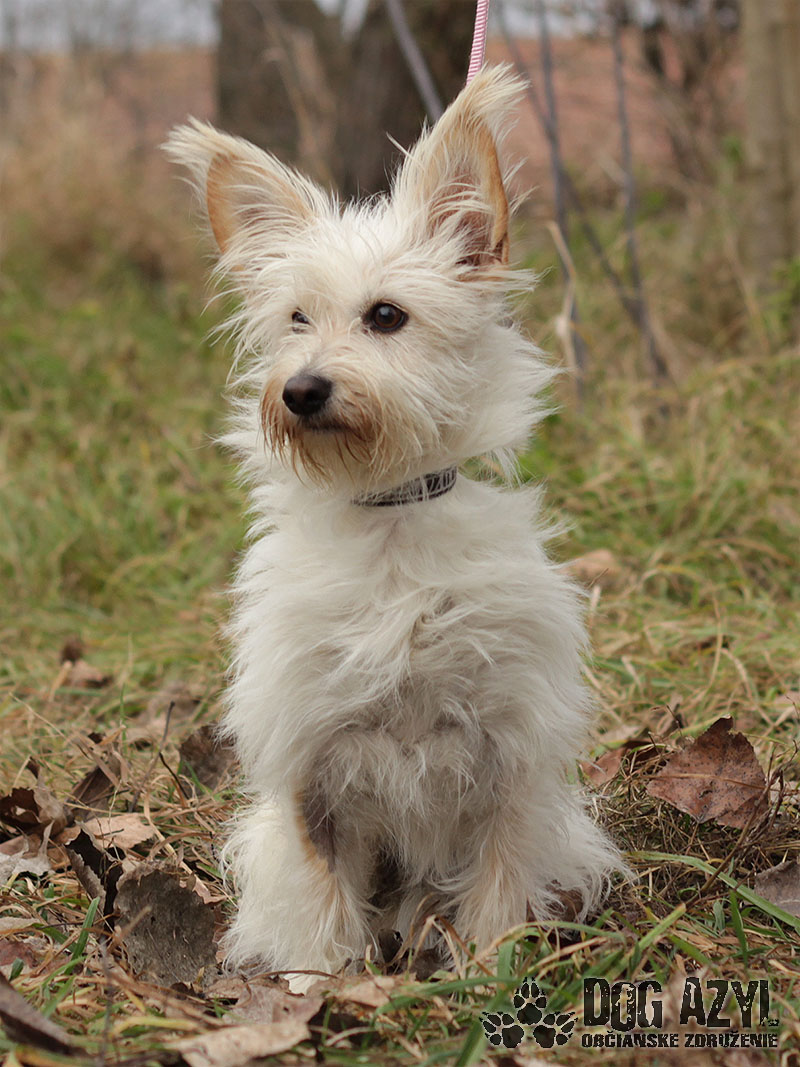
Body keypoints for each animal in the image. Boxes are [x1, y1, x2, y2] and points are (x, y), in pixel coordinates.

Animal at [166, 65, 624, 987]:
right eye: (295, 320)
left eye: (386, 316)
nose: (300, 390)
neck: (390, 524)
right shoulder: (309, 764)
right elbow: (320, 898)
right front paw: (315, 986)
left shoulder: (511, 752)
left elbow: (498, 878)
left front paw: (490, 977)